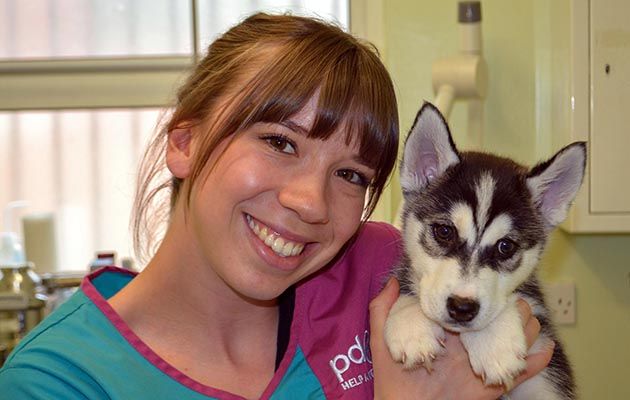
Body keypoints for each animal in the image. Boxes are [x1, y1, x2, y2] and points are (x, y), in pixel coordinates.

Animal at [386, 101, 588, 398]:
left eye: (505, 246)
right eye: (444, 232)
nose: (462, 307)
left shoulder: (548, 375)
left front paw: (494, 343)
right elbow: (407, 286)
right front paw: (411, 326)